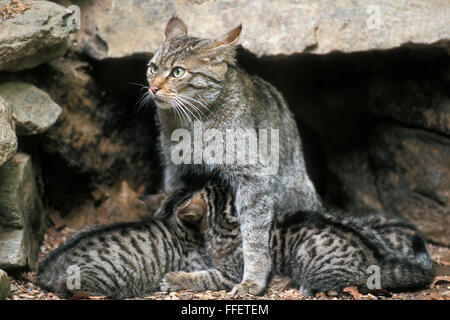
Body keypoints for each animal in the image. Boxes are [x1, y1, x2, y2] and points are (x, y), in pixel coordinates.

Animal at [146, 15, 322, 296]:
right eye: (152, 68)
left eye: (177, 72)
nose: (152, 88)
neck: (189, 122)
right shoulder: (177, 172)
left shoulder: (253, 176)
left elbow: (253, 234)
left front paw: (253, 279)